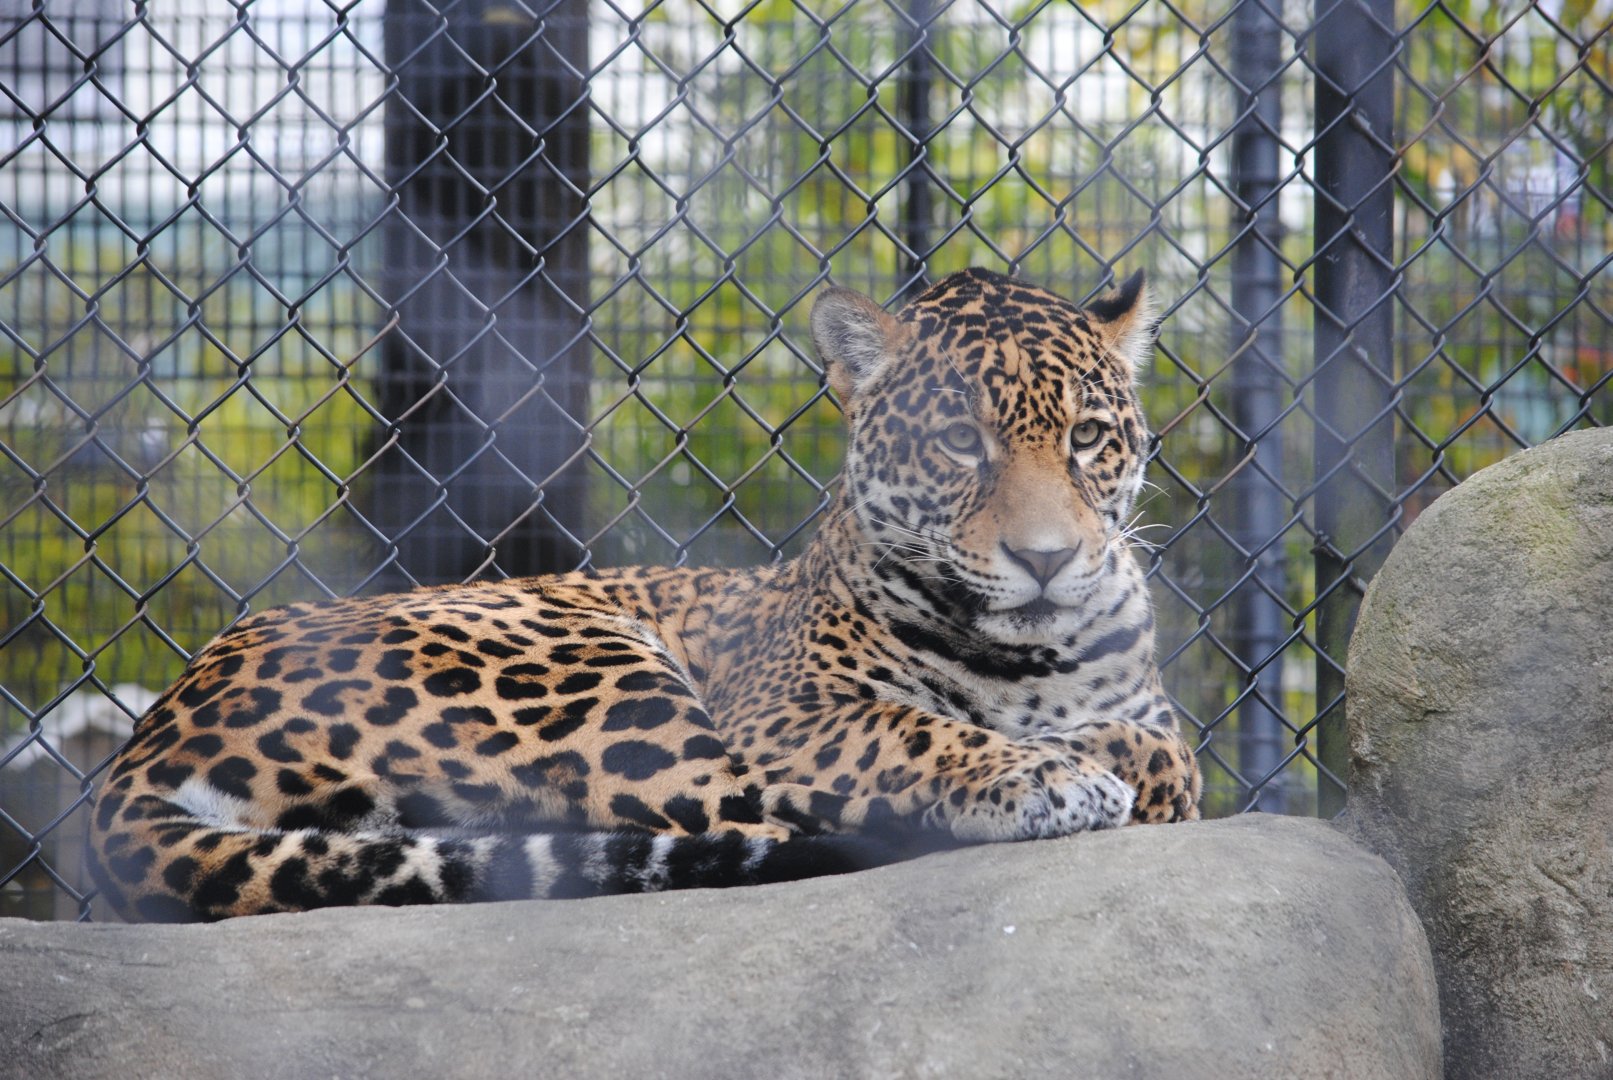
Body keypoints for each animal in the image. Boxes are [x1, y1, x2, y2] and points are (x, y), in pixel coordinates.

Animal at [87, 267, 1201, 922]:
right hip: (587, 671)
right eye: (960, 443)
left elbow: (1164, 750)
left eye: (1088, 440)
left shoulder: (1143, 710)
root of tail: (144, 743)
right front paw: (1049, 773)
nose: (1046, 558)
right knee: (727, 813)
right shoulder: (789, 711)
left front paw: (1083, 754)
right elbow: (918, 732)